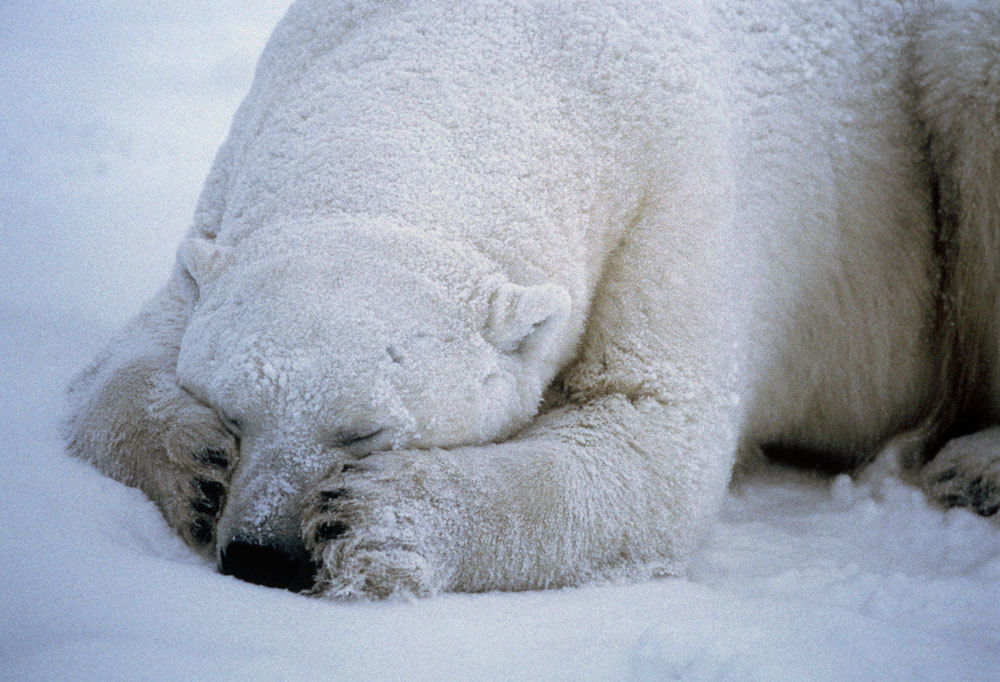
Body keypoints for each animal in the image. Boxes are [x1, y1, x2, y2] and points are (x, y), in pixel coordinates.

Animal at [64, 0, 1000, 596]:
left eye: (366, 433)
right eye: (232, 408)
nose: (264, 554)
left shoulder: (676, 202)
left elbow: (650, 438)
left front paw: (374, 521)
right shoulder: (238, 172)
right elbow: (119, 359)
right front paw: (194, 466)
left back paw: (973, 466)